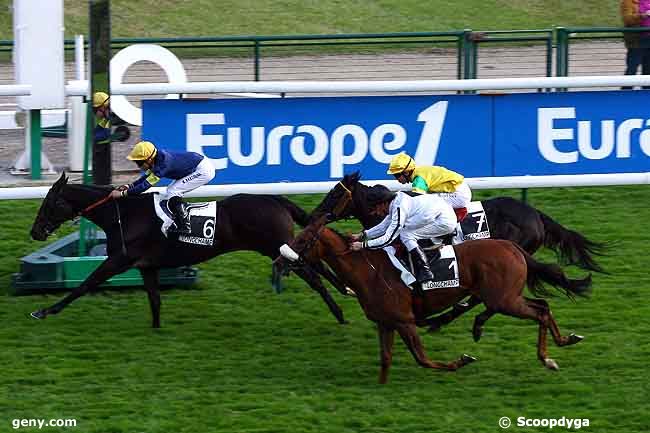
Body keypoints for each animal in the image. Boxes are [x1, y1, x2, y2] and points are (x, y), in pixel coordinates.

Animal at [29, 171, 350, 324]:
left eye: (49, 202)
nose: (35, 232)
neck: (123, 215)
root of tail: (275, 199)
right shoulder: (146, 266)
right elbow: (155, 300)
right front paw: (156, 329)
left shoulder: (118, 260)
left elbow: (85, 284)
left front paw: (45, 311)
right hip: (283, 248)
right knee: (317, 264)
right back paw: (345, 290)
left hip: (275, 248)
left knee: (314, 275)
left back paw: (339, 313)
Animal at [276, 189, 588, 382]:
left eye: (303, 240)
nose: (279, 261)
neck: (369, 271)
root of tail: (511, 247)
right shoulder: (386, 322)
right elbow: (386, 360)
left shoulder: (404, 320)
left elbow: (422, 358)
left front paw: (461, 360)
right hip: (506, 296)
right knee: (541, 306)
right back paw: (562, 341)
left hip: (503, 299)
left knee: (535, 311)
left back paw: (545, 356)